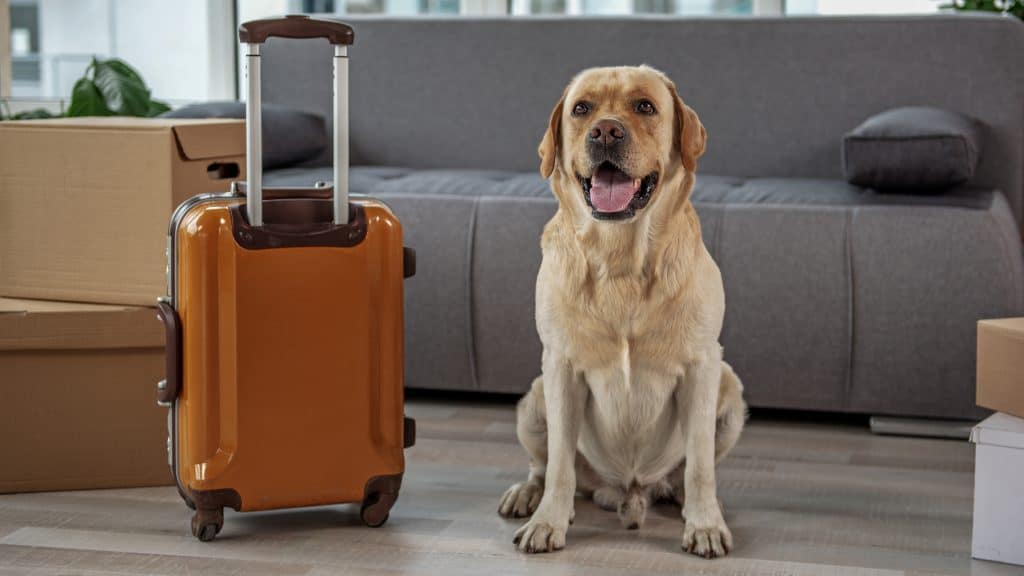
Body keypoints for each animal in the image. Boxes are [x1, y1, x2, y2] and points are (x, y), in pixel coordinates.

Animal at [495, 66, 745, 557]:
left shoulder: (704, 365)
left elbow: (700, 464)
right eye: (581, 109)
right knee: (546, 466)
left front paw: (705, 524)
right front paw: (547, 523)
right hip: (534, 400)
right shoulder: (560, 367)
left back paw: (696, 503)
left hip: (730, 390)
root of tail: (629, 490)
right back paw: (527, 495)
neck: (621, 260)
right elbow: (560, 466)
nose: (606, 131)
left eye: (645, 106)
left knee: (688, 472)